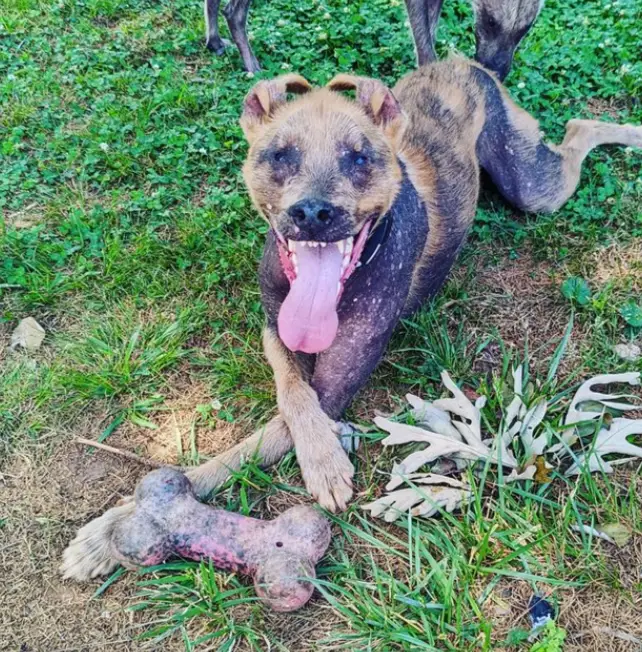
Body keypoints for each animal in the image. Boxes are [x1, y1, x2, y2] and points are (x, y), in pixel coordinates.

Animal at [61, 61, 640, 580]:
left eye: (359, 157)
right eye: (279, 156)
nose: (313, 213)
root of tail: (466, 61)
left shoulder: (339, 381)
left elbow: (257, 440)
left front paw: (114, 528)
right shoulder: (273, 329)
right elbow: (292, 393)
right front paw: (110, 531)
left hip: (533, 187)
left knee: (579, 130)